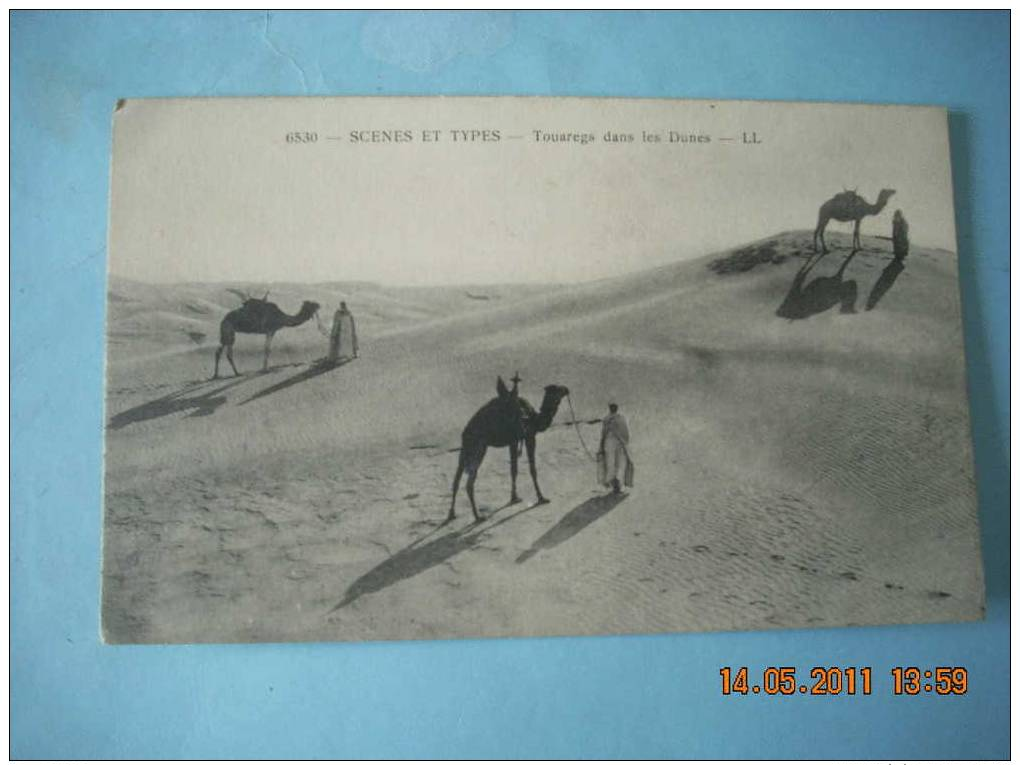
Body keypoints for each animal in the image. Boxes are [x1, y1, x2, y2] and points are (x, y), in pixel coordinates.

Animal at [448, 375, 571, 526]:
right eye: (558, 389)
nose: (567, 389)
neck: (534, 418)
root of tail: (465, 432)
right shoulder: (529, 436)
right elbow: (532, 469)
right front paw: (542, 498)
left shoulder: (514, 441)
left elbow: (513, 470)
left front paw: (514, 497)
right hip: (479, 447)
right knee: (469, 483)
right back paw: (478, 517)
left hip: (466, 449)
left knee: (456, 479)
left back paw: (451, 514)